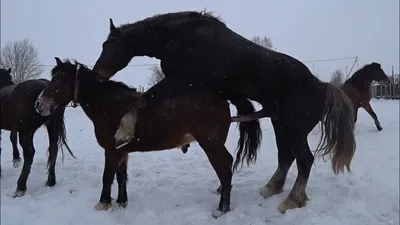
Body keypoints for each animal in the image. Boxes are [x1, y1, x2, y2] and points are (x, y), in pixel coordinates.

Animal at [34, 58, 262, 218]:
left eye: (59, 81)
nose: (38, 104)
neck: (110, 105)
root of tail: (222, 97)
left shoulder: (112, 151)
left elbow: (107, 177)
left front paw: (103, 203)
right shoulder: (122, 151)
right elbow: (121, 177)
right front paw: (121, 202)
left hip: (211, 145)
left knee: (224, 168)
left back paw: (222, 209)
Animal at [91, 10, 356, 213]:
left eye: (108, 45)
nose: (97, 74)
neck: (182, 38)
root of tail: (321, 86)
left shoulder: (181, 79)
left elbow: (144, 98)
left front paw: (124, 130)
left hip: (294, 129)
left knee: (304, 160)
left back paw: (291, 200)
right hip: (281, 125)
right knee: (286, 157)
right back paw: (270, 189)